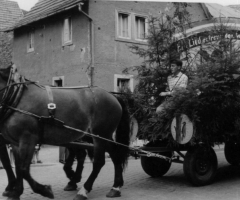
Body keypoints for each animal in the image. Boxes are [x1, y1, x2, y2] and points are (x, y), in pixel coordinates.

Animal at [0, 65, 129, 199]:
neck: (17, 97)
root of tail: (113, 96)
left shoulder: (28, 140)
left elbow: (23, 169)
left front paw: (44, 190)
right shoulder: (15, 142)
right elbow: (17, 167)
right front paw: (16, 192)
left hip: (99, 135)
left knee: (98, 162)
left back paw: (84, 190)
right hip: (104, 136)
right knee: (115, 154)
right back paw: (115, 187)